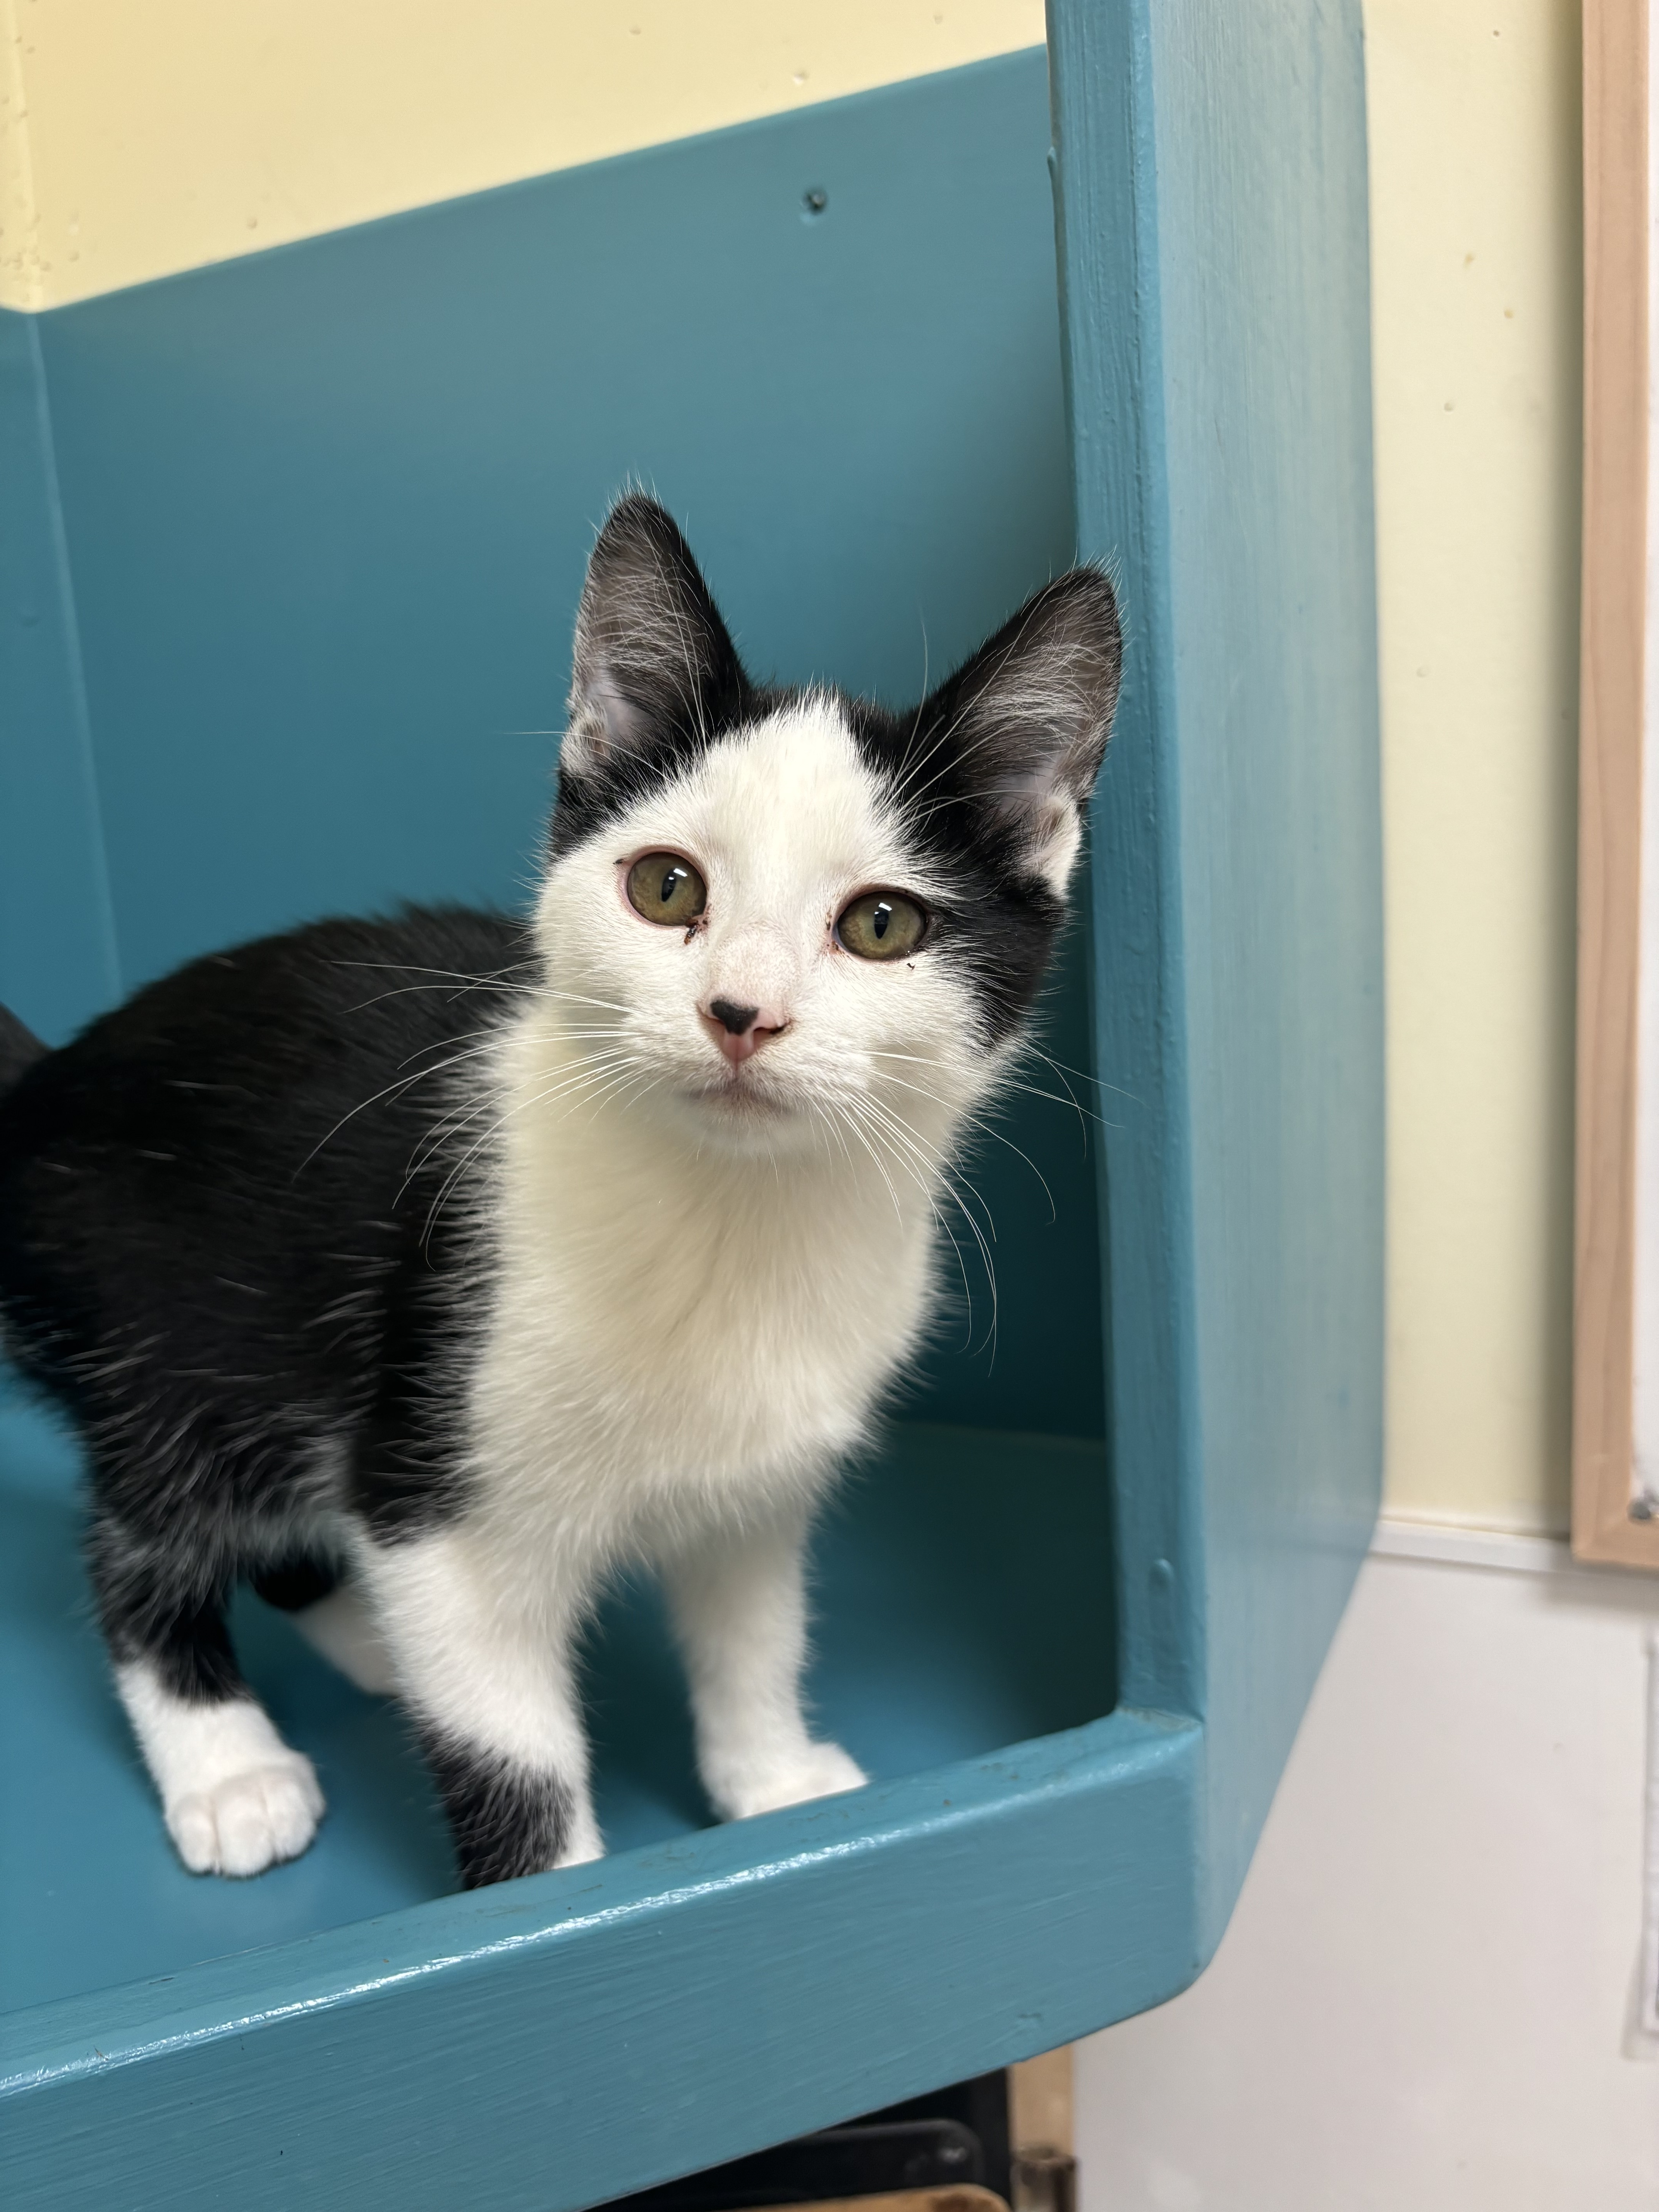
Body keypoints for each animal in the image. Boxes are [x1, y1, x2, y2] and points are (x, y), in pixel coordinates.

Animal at [0, 498, 1123, 1884]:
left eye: (880, 926)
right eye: (665, 886)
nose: (741, 1014)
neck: (728, 1221)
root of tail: (50, 1081)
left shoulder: (756, 1488)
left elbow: (754, 1633)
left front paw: (769, 1779)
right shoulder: (437, 1470)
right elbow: (511, 1755)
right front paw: (562, 1887)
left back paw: (367, 1637)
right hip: (172, 1340)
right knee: (142, 1541)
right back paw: (230, 1764)